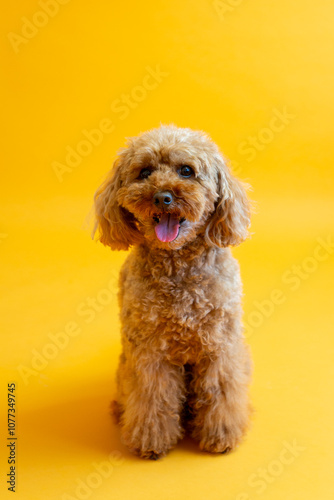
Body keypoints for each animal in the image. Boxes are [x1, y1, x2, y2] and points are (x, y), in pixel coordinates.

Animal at [92, 126, 252, 460]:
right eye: (145, 172)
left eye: (186, 171)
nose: (162, 196)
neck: (179, 267)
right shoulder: (150, 352)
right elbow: (153, 396)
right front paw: (151, 441)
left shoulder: (220, 347)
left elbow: (221, 391)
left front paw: (221, 436)